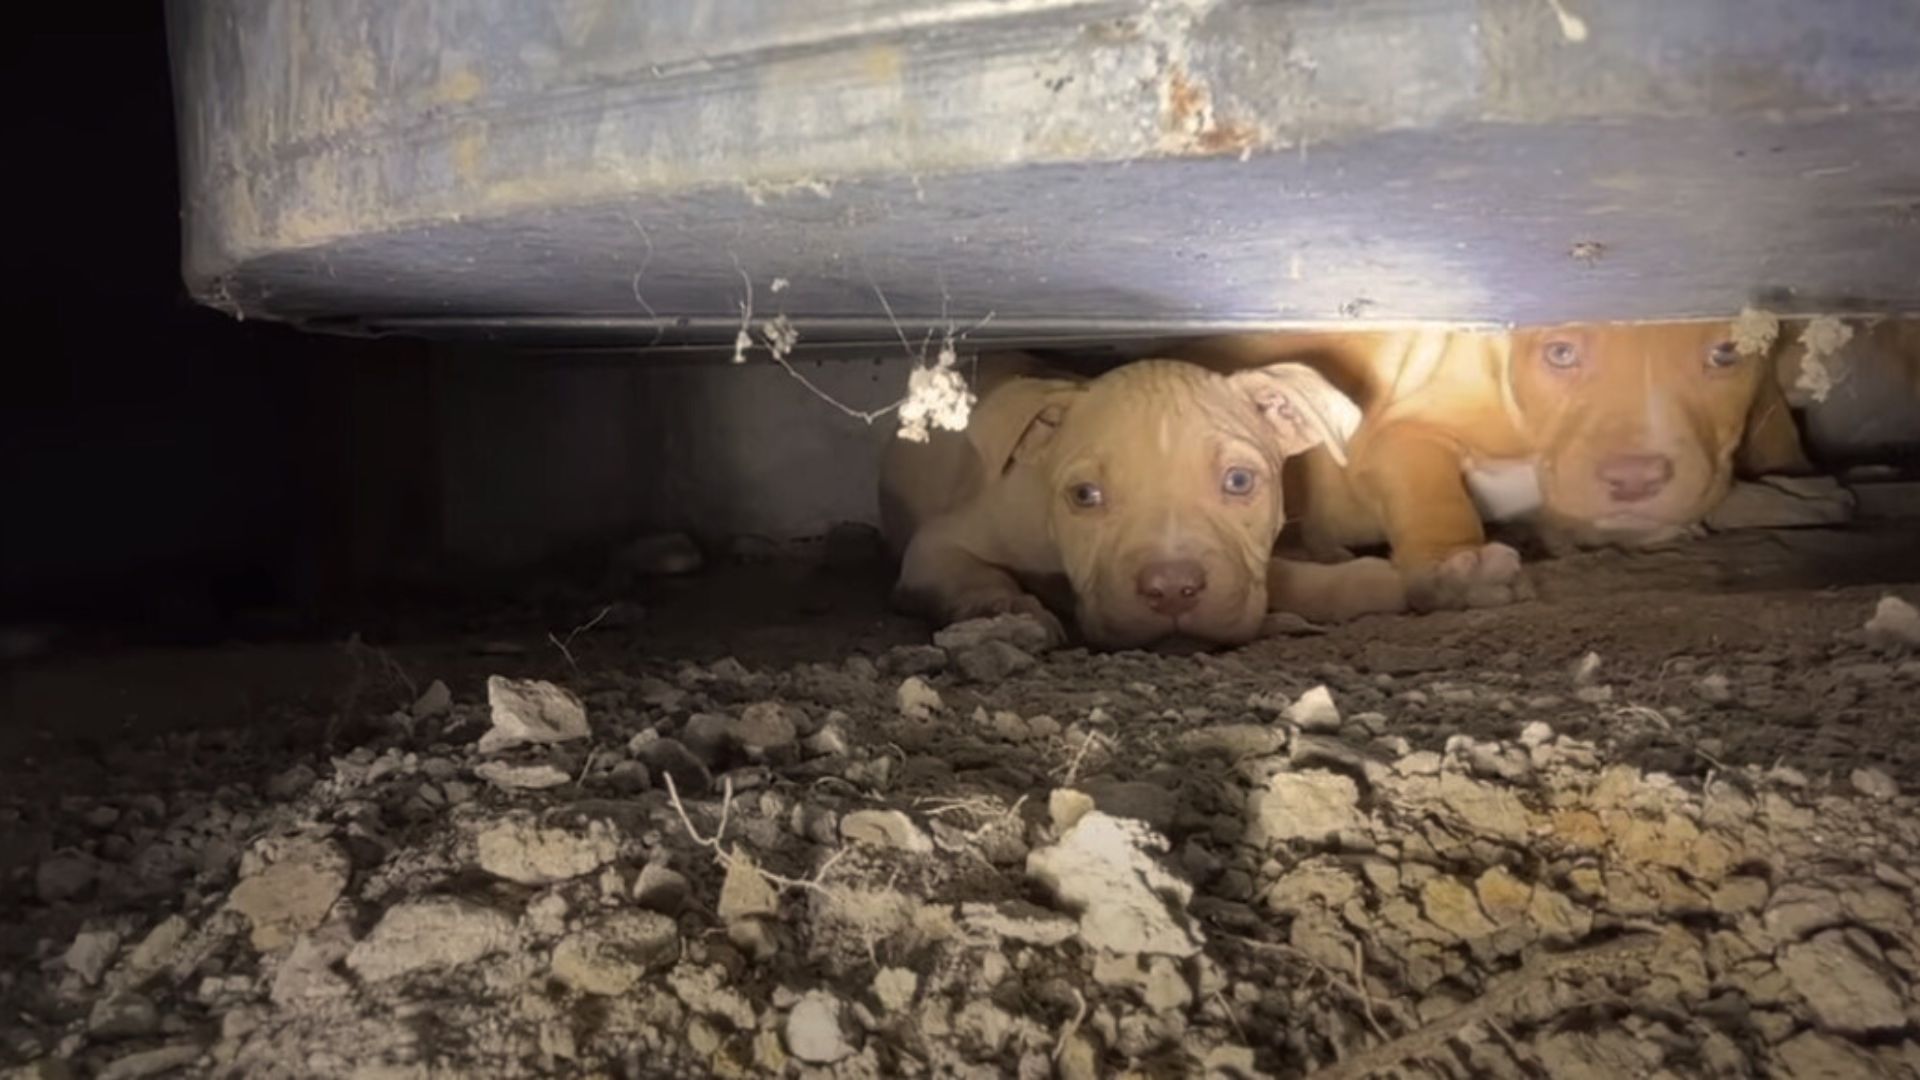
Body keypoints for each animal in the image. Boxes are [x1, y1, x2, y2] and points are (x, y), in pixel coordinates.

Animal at [883, 351, 1413, 645]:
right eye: (1085, 495)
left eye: (1239, 481)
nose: (1172, 589)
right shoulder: (937, 544)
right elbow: (975, 574)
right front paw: (1004, 607)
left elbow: (1279, 576)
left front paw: (1365, 581)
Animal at [1175, 317, 1804, 607]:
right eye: (1560, 353)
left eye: (1727, 353)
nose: (1635, 478)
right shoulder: (1391, 430)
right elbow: (1428, 488)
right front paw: (1459, 568)